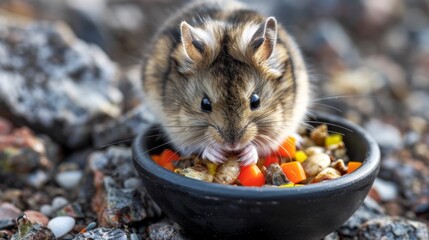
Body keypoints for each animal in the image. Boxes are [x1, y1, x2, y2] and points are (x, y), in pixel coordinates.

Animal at [142, 0, 310, 166]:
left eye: (256, 101)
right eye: (204, 104)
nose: (232, 145)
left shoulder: (279, 124)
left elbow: (264, 143)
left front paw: (248, 154)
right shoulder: (178, 129)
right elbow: (198, 145)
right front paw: (216, 153)